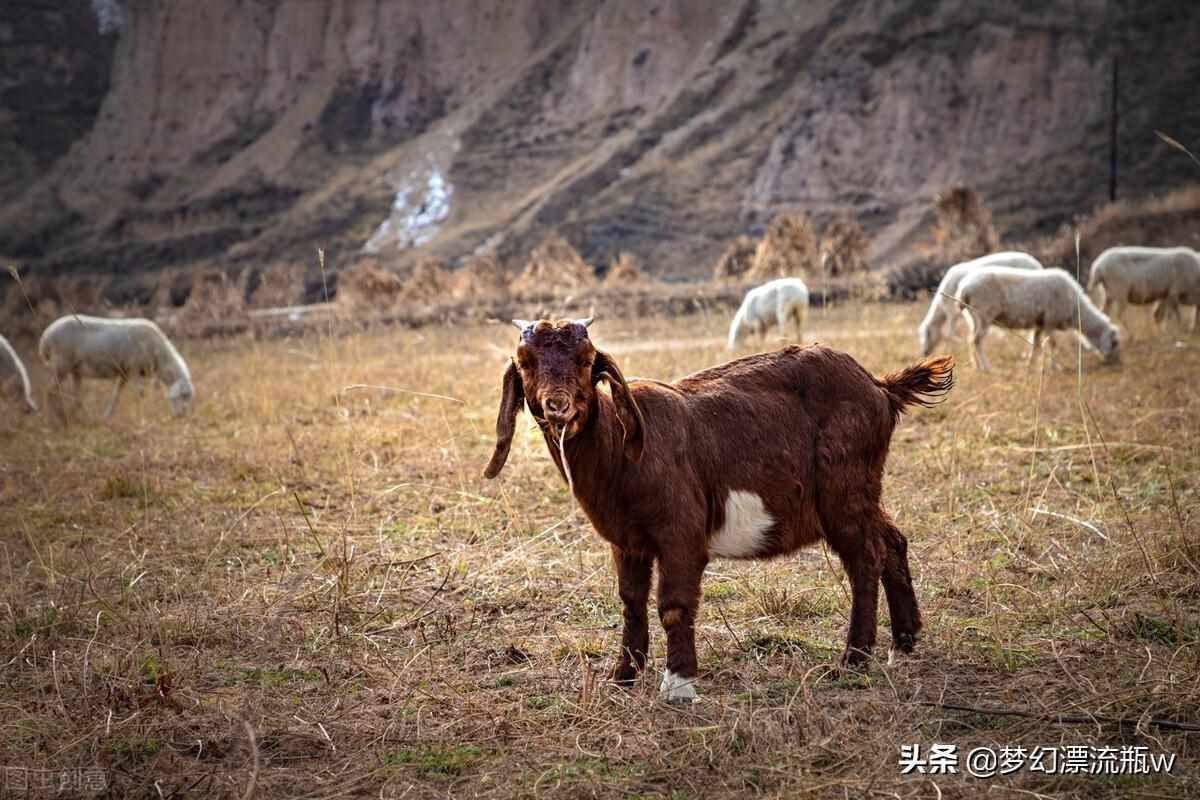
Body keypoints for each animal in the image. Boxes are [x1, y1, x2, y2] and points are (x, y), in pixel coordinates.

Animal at [38, 314, 194, 422]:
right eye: (183, 395)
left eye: (188, 397)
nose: (181, 416)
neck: (159, 355)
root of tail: (46, 335)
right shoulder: (134, 368)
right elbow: (140, 394)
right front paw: (140, 417)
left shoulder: (124, 373)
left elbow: (116, 396)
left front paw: (107, 417)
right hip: (60, 363)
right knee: (50, 390)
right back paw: (54, 419)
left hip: (74, 369)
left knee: (75, 394)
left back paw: (79, 416)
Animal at [482, 319, 950, 700]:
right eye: (525, 363)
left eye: (586, 361)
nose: (558, 405)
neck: (619, 448)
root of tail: (880, 387)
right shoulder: (627, 541)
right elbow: (631, 601)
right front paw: (622, 678)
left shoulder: (681, 532)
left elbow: (673, 603)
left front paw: (679, 685)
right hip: (864, 490)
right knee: (891, 540)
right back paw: (904, 639)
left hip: (844, 488)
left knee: (864, 557)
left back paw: (855, 657)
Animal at [950, 267, 1118, 371]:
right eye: (1115, 343)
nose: (1114, 363)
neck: (1076, 310)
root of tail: (964, 288)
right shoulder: (1051, 319)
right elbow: (1052, 344)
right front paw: (1054, 368)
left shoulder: (1040, 324)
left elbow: (1036, 345)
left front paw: (1031, 366)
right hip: (984, 314)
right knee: (976, 341)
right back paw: (986, 368)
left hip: (973, 317)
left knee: (970, 339)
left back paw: (977, 366)